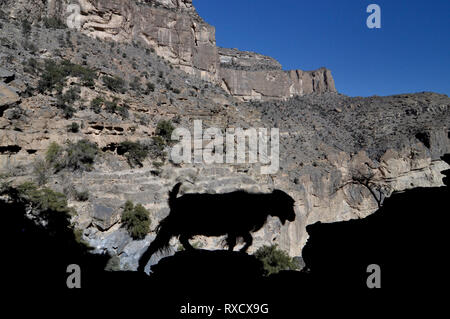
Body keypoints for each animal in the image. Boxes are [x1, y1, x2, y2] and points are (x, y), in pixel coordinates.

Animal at [139, 184, 298, 272]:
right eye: (288, 204)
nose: (293, 217)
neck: (258, 204)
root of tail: (174, 201)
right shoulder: (238, 228)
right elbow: (246, 240)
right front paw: (240, 251)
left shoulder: (236, 230)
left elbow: (241, 241)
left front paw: (235, 252)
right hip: (175, 225)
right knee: (156, 244)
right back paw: (141, 265)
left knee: (181, 239)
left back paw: (194, 251)